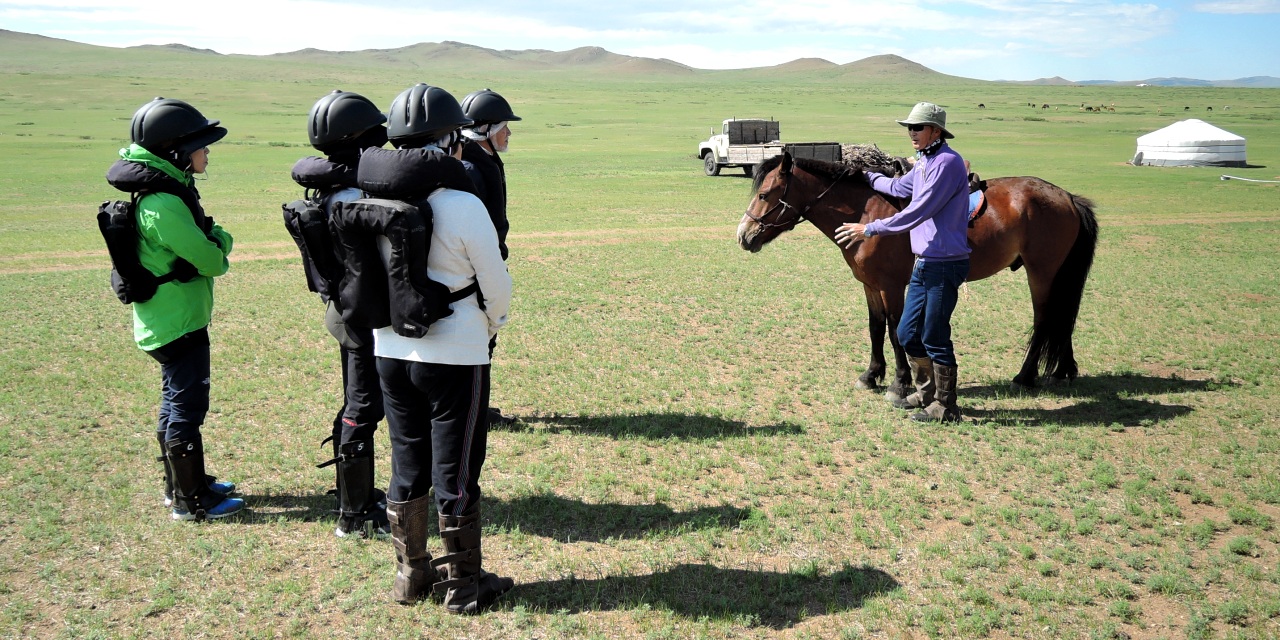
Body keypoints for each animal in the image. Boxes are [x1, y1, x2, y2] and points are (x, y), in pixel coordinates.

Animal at [742, 151, 1100, 396]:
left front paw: (900, 382)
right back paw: (1062, 370)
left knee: (1044, 320)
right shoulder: (870, 285)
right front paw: (871, 375)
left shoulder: (892, 286)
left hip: (1041, 273)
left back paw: (1025, 377)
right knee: (1062, 318)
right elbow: (875, 327)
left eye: (763, 195)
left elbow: (894, 330)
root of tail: (1068, 197)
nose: (743, 235)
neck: (867, 212)